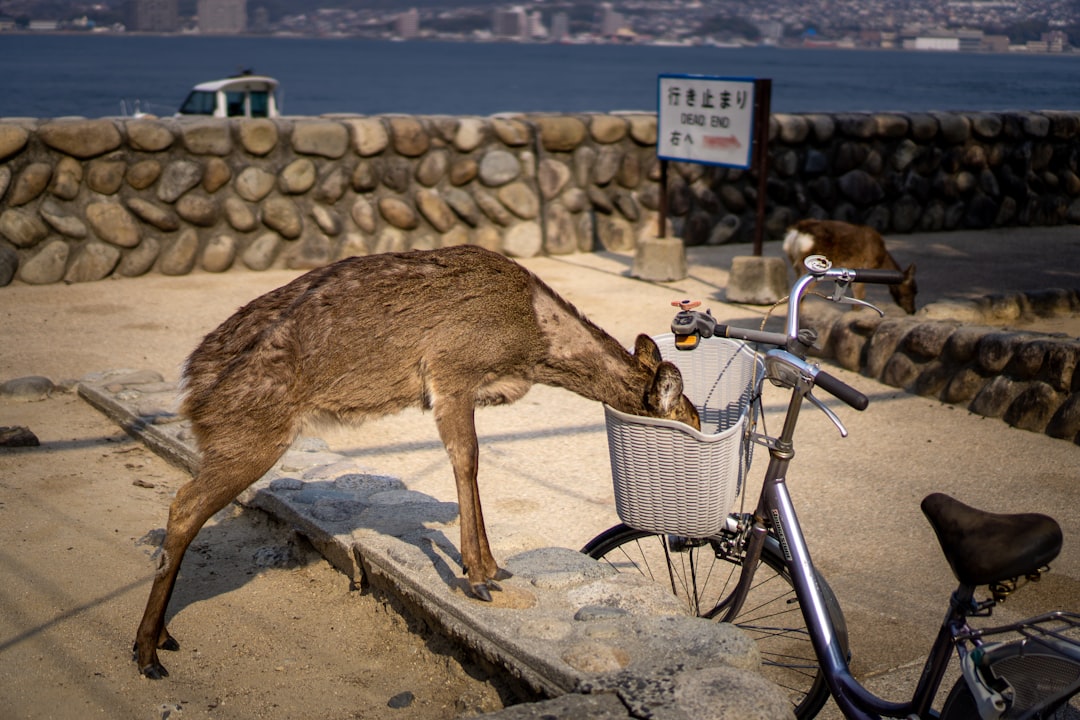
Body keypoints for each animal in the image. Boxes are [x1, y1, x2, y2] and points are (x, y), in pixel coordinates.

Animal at [132, 245, 699, 677]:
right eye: (689, 418)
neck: (532, 342)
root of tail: (190, 389)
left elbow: (468, 469)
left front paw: (493, 567)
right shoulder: (451, 372)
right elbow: (467, 462)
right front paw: (479, 577)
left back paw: (162, 638)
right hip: (250, 435)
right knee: (183, 506)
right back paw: (146, 652)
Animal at [781, 216, 915, 313]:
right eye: (912, 290)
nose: (912, 311)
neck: (880, 259)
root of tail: (796, 232)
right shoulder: (863, 266)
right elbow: (860, 297)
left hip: (796, 265)